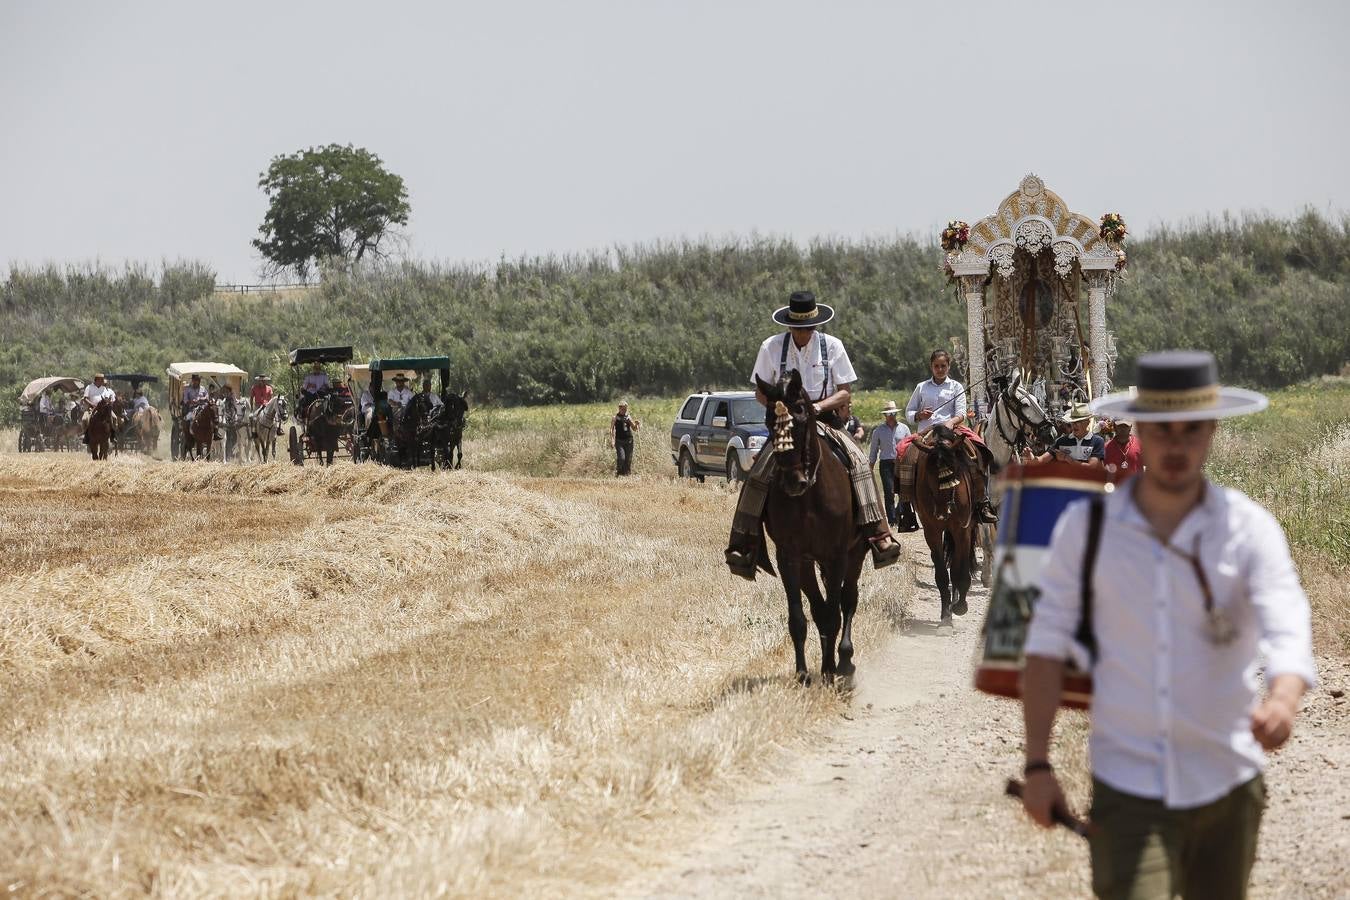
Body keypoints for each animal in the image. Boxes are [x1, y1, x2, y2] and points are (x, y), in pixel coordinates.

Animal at [756, 369, 869, 685]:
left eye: (801, 414)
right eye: (768, 421)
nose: (794, 481)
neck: (809, 497)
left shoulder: (837, 556)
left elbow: (834, 612)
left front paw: (831, 670)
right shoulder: (790, 558)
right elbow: (800, 617)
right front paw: (803, 673)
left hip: (855, 554)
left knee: (848, 599)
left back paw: (844, 660)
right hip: (809, 563)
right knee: (819, 607)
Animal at [912, 426, 988, 631]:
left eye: (954, 475)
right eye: (928, 474)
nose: (942, 513)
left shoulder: (962, 529)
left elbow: (958, 570)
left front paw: (960, 607)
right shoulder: (932, 531)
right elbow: (942, 574)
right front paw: (946, 617)